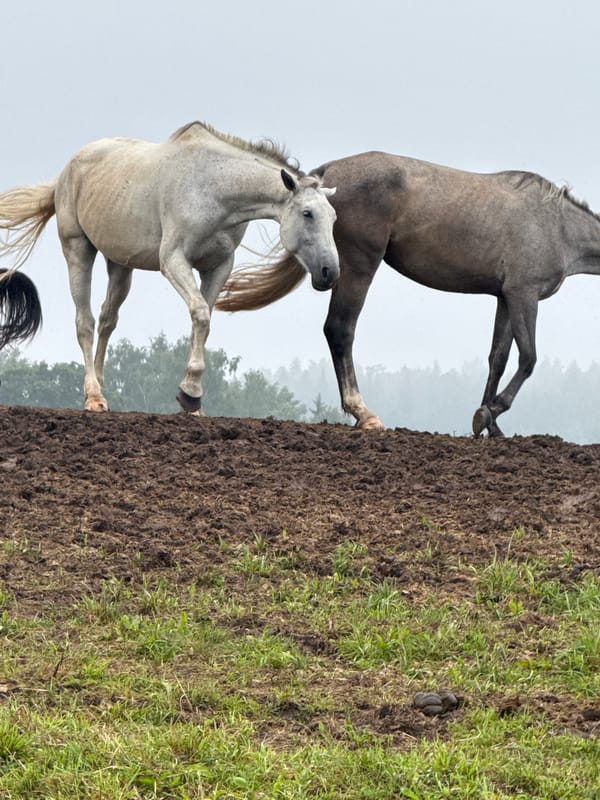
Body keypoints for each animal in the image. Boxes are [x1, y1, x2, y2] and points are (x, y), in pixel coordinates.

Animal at [0, 121, 338, 412]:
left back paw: (98, 387)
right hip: (78, 250)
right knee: (85, 322)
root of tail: (65, 172)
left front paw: (192, 396)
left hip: (120, 265)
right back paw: (94, 396)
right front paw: (190, 393)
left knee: (108, 320)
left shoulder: (218, 267)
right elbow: (200, 313)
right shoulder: (173, 261)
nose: (330, 272)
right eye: (307, 213)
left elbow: (203, 320)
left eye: (333, 216)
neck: (213, 187)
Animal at [216, 150, 600, 437]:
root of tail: (329, 175)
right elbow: (528, 359)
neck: (557, 225)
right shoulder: (525, 294)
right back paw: (363, 413)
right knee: (340, 329)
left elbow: (498, 358)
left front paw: (489, 422)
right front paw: (492, 411)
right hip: (359, 268)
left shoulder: (505, 297)